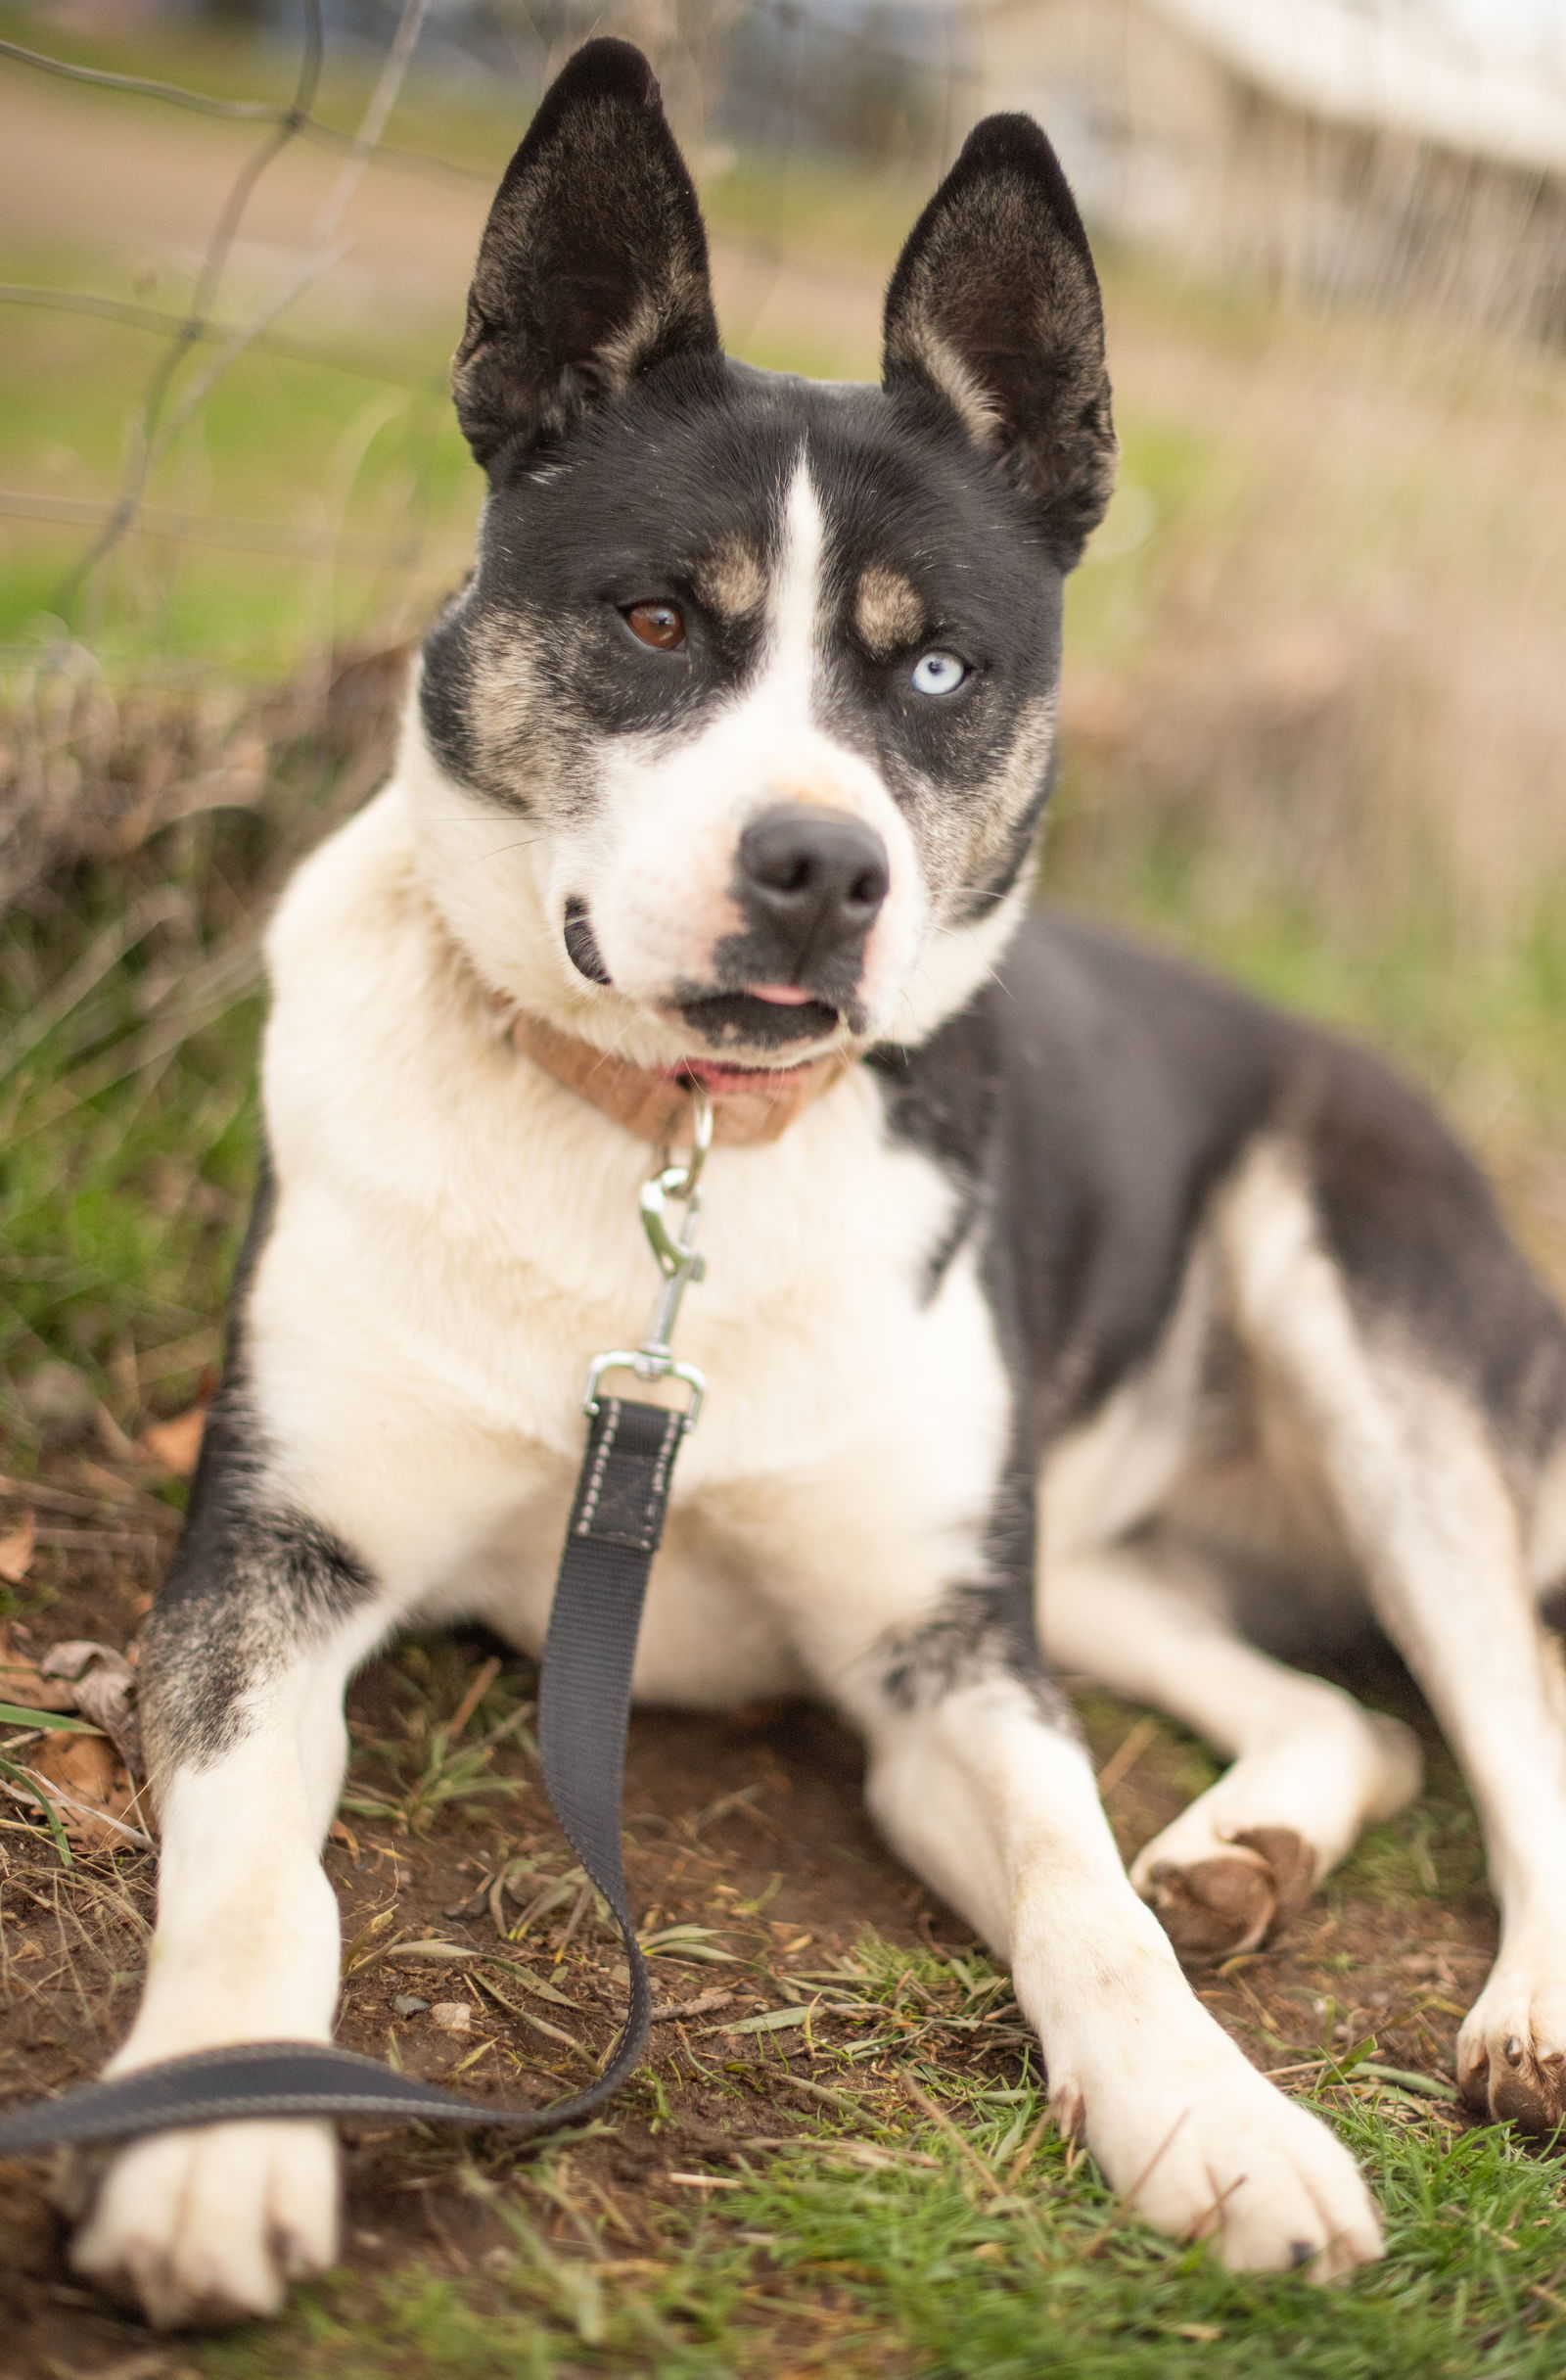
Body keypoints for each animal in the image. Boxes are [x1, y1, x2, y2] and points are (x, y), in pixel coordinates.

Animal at [64, 41, 1566, 2322]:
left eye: (936, 668)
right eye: (654, 618)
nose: (821, 871)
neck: (675, 1143)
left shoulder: (943, 1644)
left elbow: (1071, 1883)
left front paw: (1215, 2115)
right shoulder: (274, 1559)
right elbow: (252, 1875)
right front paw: (215, 2130)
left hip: (1363, 1335)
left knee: (1510, 1717)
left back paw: (1515, 2009)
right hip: (1102, 1542)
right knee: (1355, 1712)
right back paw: (1247, 1849)